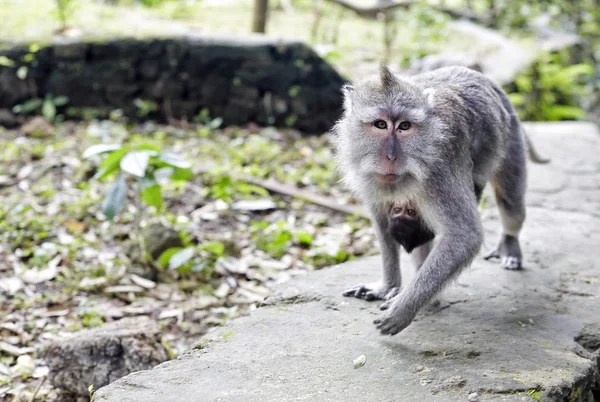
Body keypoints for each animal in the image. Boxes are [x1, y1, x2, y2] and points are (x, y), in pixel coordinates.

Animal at [332, 65, 528, 336]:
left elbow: (463, 236)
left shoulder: (440, 172)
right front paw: (387, 286)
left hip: (512, 137)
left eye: (404, 126)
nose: (391, 157)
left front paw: (403, 309)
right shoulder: (369, 180)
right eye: (380, 124)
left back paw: (508, 244)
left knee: (511, 204)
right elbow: (382, 223)